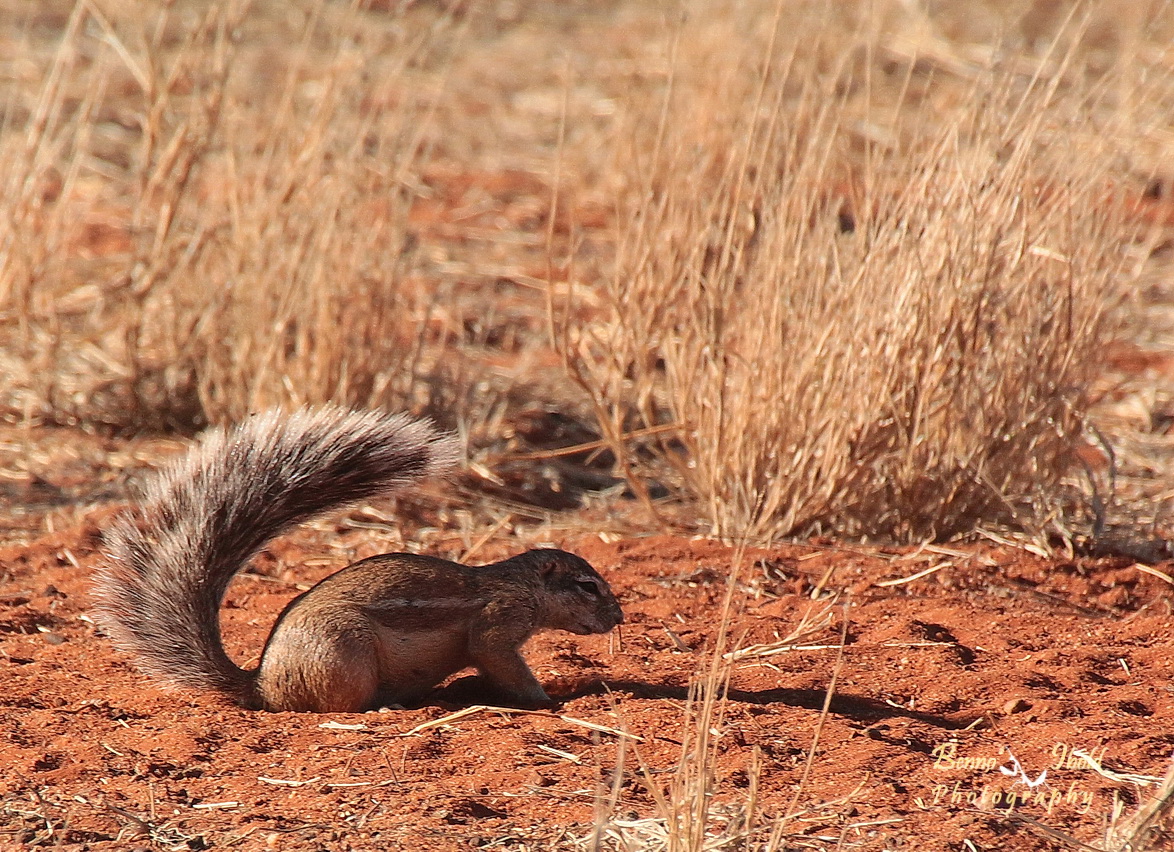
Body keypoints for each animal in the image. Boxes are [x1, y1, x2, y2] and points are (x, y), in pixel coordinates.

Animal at [91, 406, 624, 713]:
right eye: (587, 586)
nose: (619, 617)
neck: (520, 585)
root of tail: (262, 684)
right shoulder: (497, 624)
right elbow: (501, 659)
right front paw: (546, 701)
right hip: (344, 652)